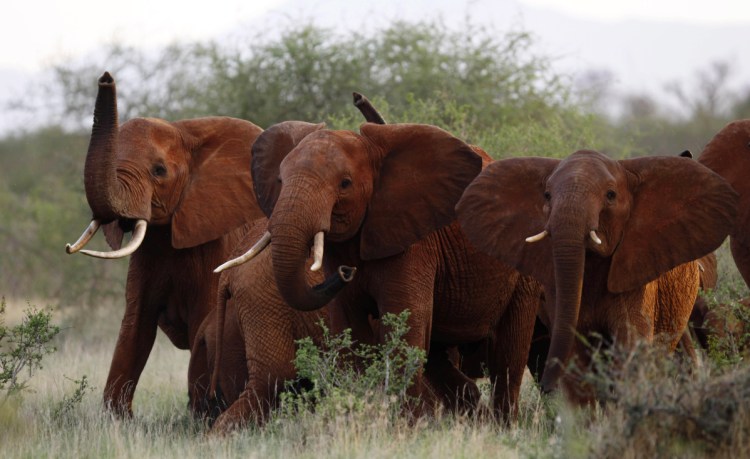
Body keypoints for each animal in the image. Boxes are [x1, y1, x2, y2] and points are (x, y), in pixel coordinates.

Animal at [64, 72, 266, 416]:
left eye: (159, 171)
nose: (106, 77)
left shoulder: (217, 244)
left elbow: (203, 322)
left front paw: (199, 416)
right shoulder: (148, 254)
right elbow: (135, 326)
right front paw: (117, 420)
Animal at [223, 119, 548, 420]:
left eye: (345, 183)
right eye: (280, 180)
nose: (345, 272)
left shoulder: (413, 242)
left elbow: (404, 326)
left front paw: (408, 427)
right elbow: (351, 333)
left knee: (509, 354)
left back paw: (503, 424)